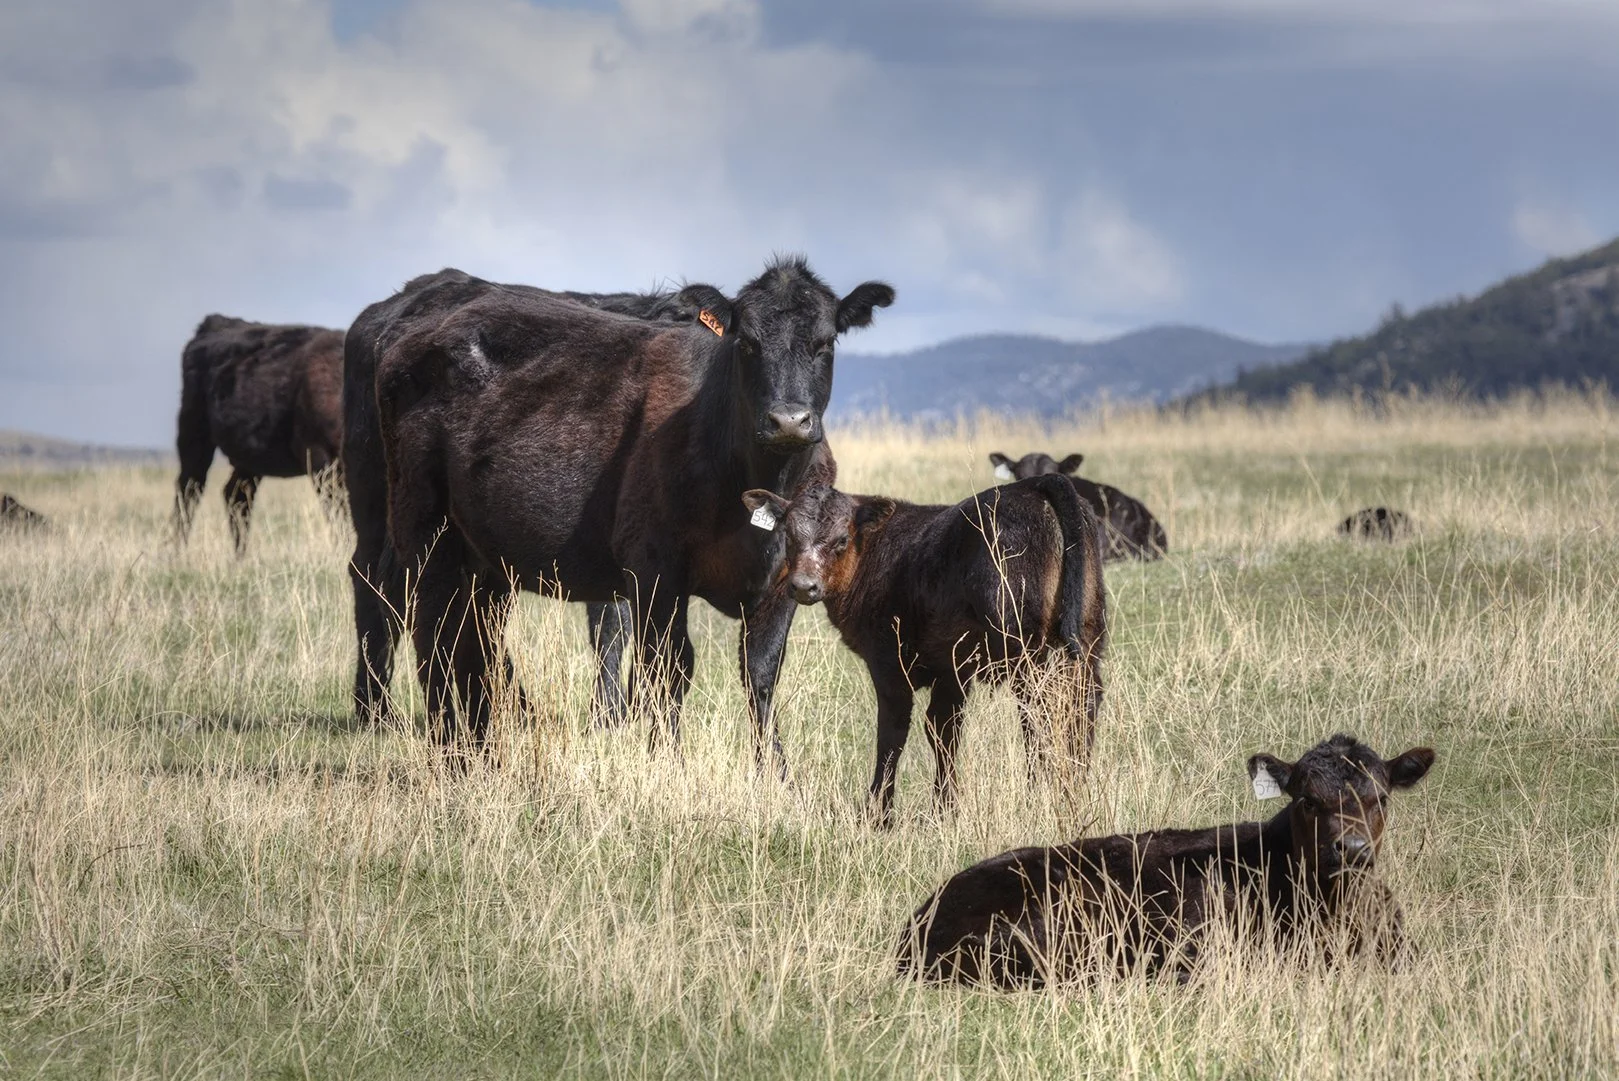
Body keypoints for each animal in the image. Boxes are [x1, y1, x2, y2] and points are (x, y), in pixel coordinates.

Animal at [173, 315, 346, 553]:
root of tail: (215, 322)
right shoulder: (320, 459)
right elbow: (340, 514)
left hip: (250, 458)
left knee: (236, 496)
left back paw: (239, 557)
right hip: (193, 433)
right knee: (189, 491)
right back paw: (176, 553)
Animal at [344, 258, 893, 767]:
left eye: (825, 343)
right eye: (748, 344)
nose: (789, 420)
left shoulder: (783, 580)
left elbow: (760, 672)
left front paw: (774, 774)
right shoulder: (654, 568)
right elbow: (665, 665)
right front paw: (664, 760)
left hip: (481, 553)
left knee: (472, 635)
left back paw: (486, 741)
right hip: (416, 523)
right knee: (425, 623)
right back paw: (442, 745)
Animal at [742, 474, 1106, 824]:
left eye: (841, 540)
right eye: (789, 537)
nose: (803, 586)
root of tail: (1036, 483)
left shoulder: (888, 662)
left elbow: (892, 732)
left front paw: (878, 814)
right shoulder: (952, 668)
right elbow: (944, 729)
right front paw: (944, 809)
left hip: (1023, 646)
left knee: (1039, 711)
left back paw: (1041, 793)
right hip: (1086, 635)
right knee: (1083, 704)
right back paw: (1075, 786)